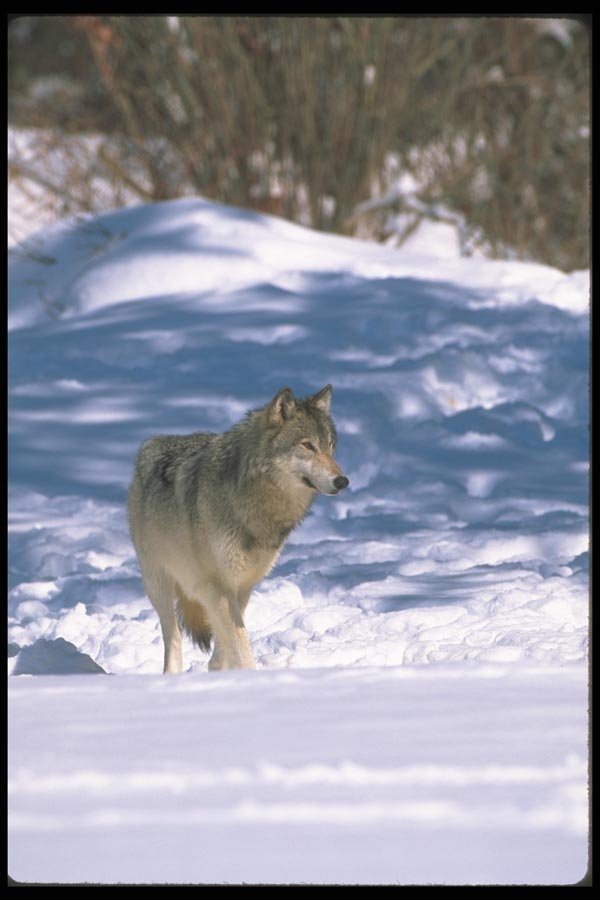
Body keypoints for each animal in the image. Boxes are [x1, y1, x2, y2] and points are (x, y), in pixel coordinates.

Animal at [127, 385, 349, 673]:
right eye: (307, 445)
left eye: (330, 446)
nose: (343, 481)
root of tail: (152, 443)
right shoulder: (217, 587)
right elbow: (242, 649)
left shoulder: (241, 587)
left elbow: (227, 647)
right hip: (158, 583)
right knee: (173, 639)